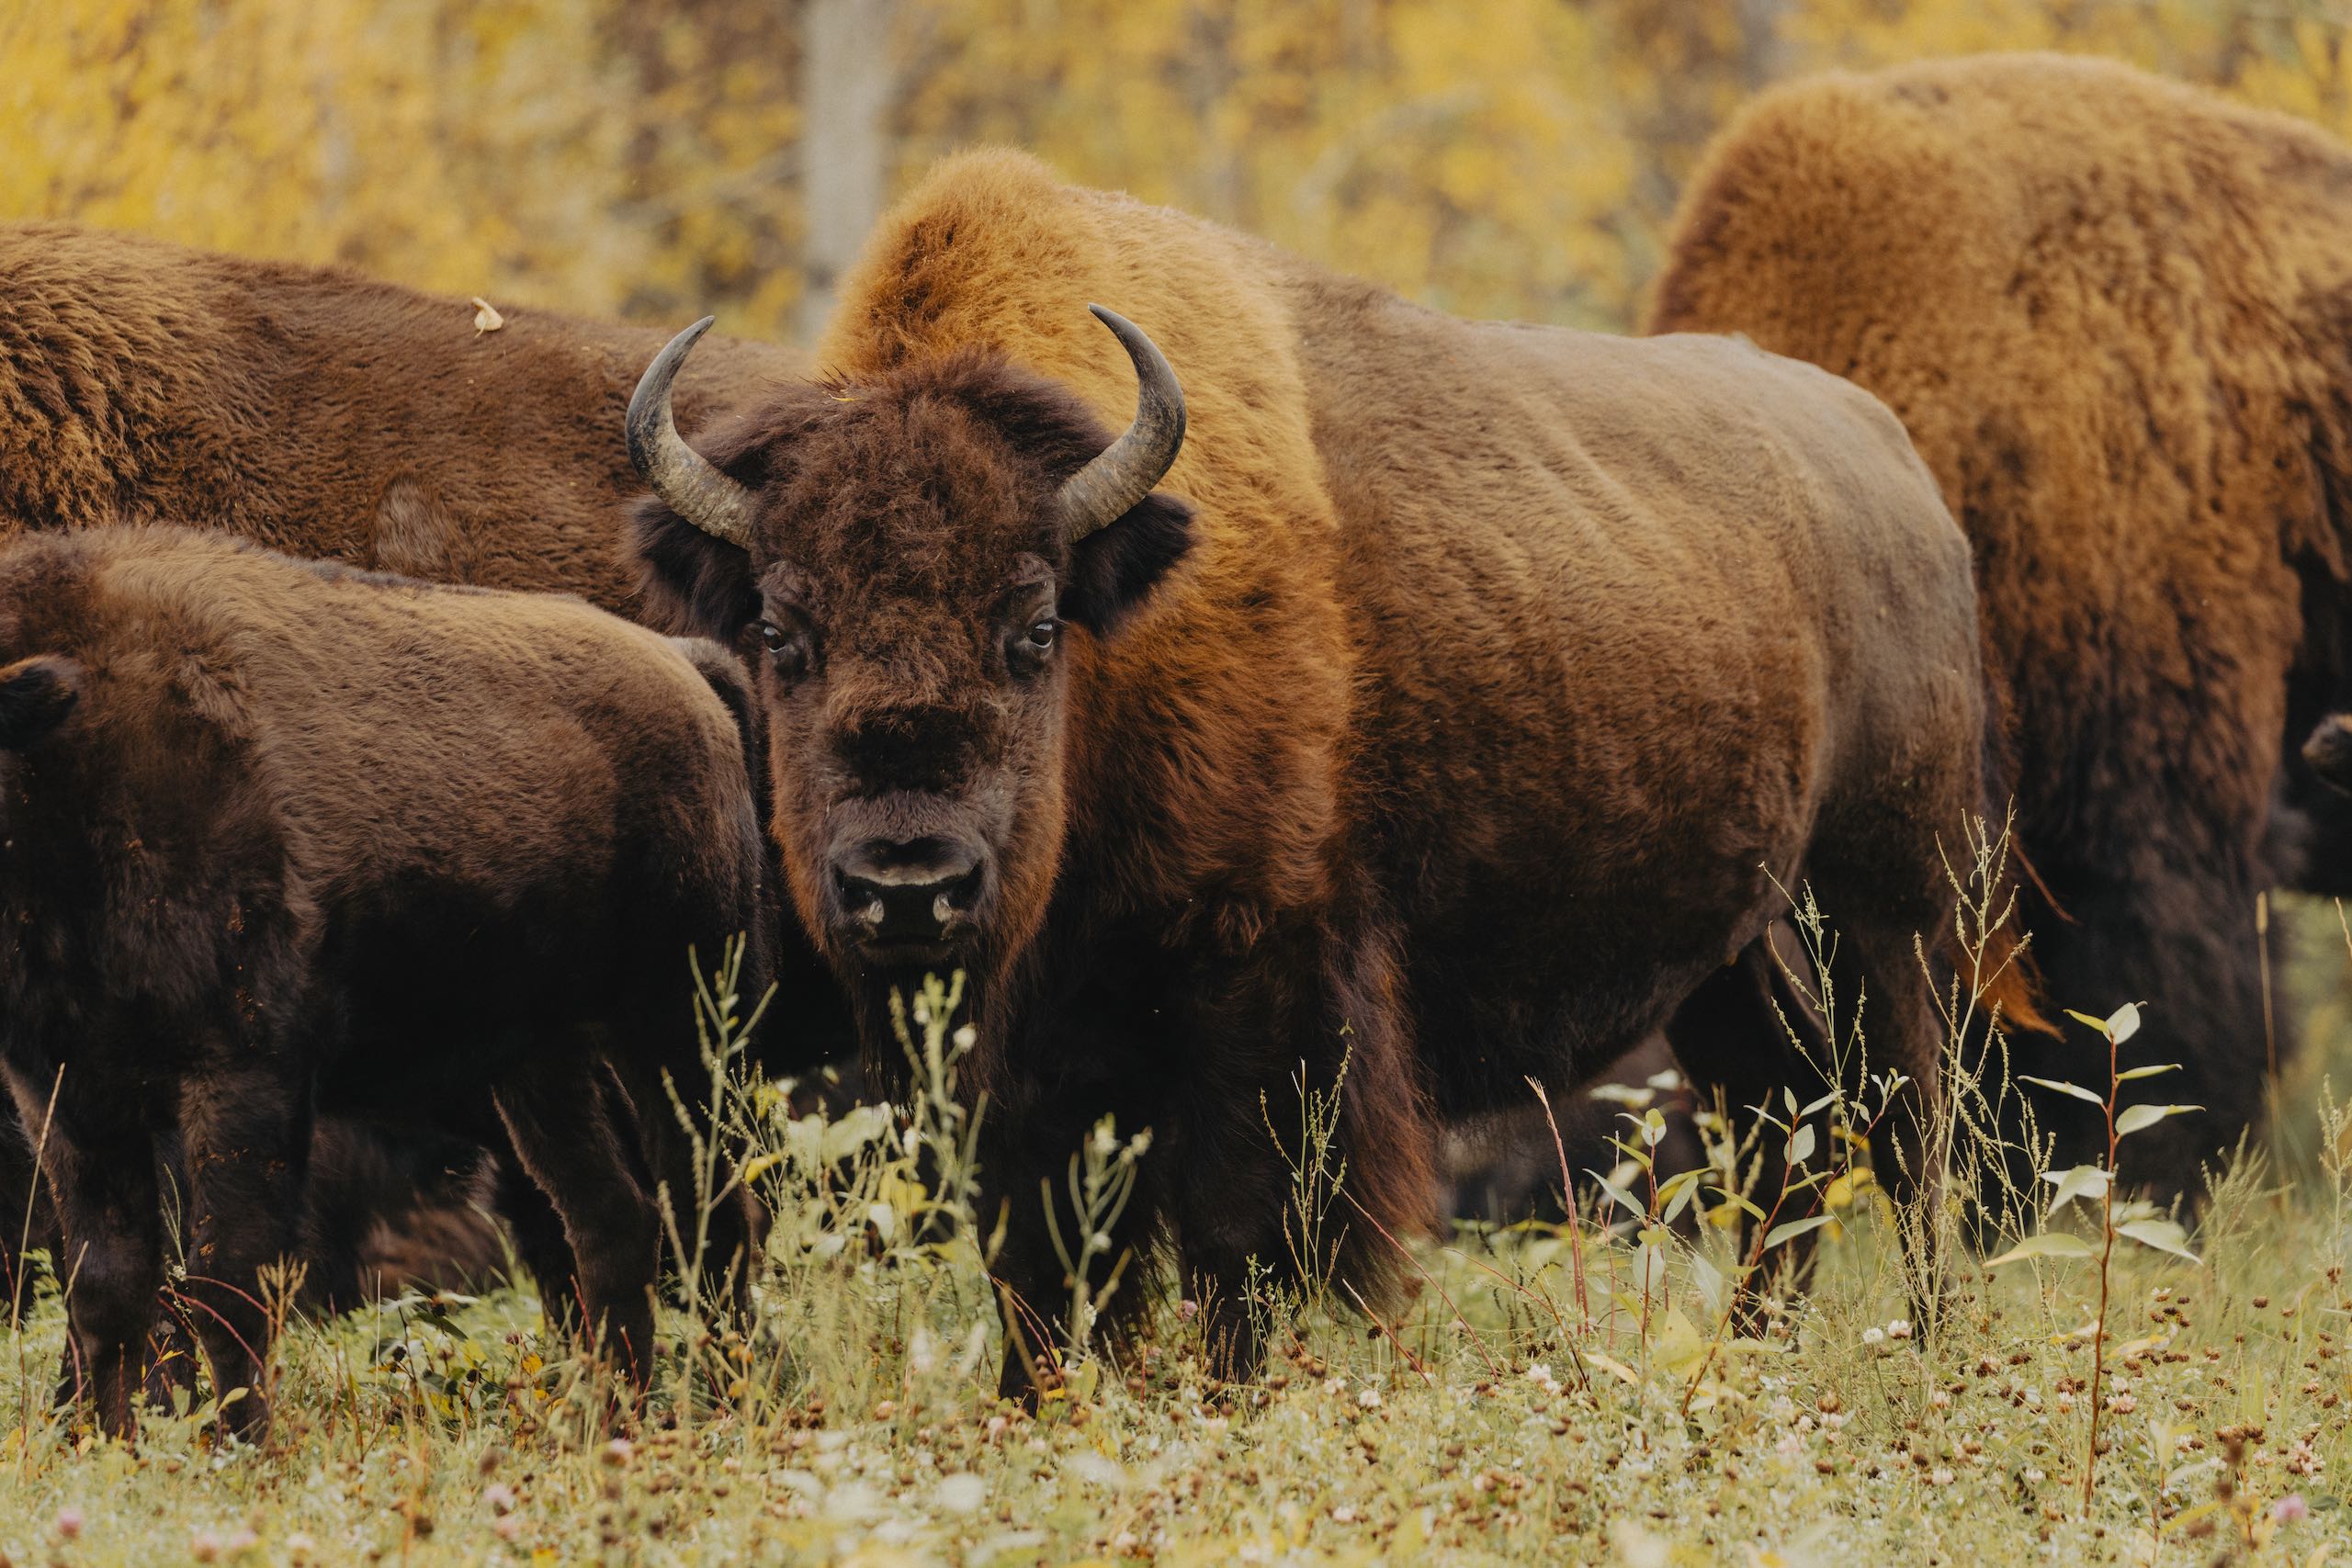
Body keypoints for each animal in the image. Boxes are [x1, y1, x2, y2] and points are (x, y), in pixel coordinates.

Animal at [0, 526, 768, 1438]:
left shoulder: (242, 1076)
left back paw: (732, 1397)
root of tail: (687, 668)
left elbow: (225, 1282)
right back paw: (607, 1414)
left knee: (710, 1206)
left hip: (678, 1020)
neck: (67, 752)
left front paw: (241, 1446)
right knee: (612, 1215)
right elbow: (108, 1288)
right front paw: (113, 1443)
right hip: (538, 1063)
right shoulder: (65, 1091)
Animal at [625, 150, 2034, 1382]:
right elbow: (1045, 1263)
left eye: (1031, 624)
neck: (1123, 623)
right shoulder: (1022, 1061)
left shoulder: (1260, 989)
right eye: (778, 630)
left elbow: (1237, 1239)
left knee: (1913, 1132)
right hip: (1735, 951)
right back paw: (1747, 1358)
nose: (908, 885)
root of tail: (1894, 465)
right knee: (1789, 1131)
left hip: (1883, 911)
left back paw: (1924, 1344)